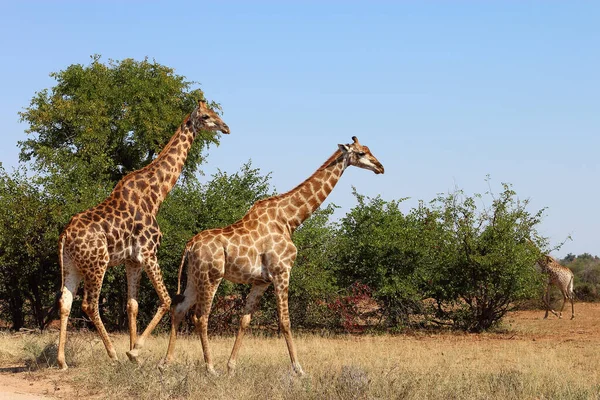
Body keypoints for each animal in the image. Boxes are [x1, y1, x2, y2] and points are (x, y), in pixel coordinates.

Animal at [56, 99, 230, 368]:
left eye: (215, 113)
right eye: (205, 116)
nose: (225, 127)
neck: (156, 195)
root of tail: (65, 236)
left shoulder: (132, 260)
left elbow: (132, 305)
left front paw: (133, 353)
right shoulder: (148, 253)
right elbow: (167, 300)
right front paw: (133, 351)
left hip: (71, 265)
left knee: (65, 302)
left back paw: (62, 360)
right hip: (97, 264)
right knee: (89, 304)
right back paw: (112, 354)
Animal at [163, 137, 384, 376]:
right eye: (361, 153)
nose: (380, 167)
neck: (290, 219)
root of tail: (189, 245)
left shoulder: (261, 282)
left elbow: (245, 320)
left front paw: (231, 366)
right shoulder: (282, 272)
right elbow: (285, 321)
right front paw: (298, 369)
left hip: (194, 277)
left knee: (179, 309)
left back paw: (166, 363)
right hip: (211, 277)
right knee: (201, 317)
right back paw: (210, 368)